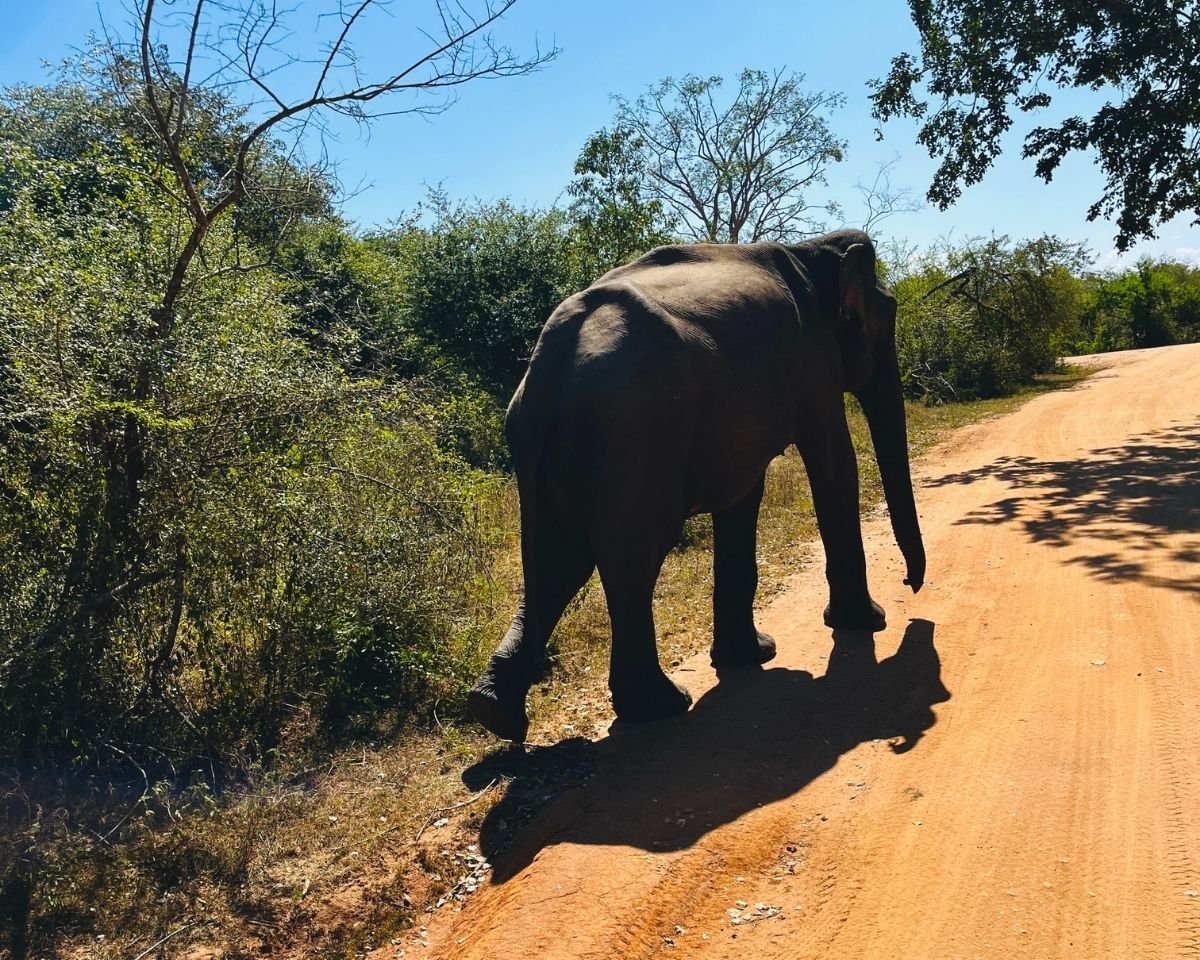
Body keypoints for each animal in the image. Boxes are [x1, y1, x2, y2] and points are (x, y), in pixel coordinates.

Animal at [468, 229, 925, 742]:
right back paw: (661, 705)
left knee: (557, 561)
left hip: (545, 443)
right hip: (634, 435)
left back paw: (495, 711)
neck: (814, 251)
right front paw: (866, 623)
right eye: (887, 316)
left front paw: (753, 655)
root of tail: (550, 365)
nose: (910, 583)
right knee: (633, 558)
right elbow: (833, 464)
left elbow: (744, 495)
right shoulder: (814, 364)